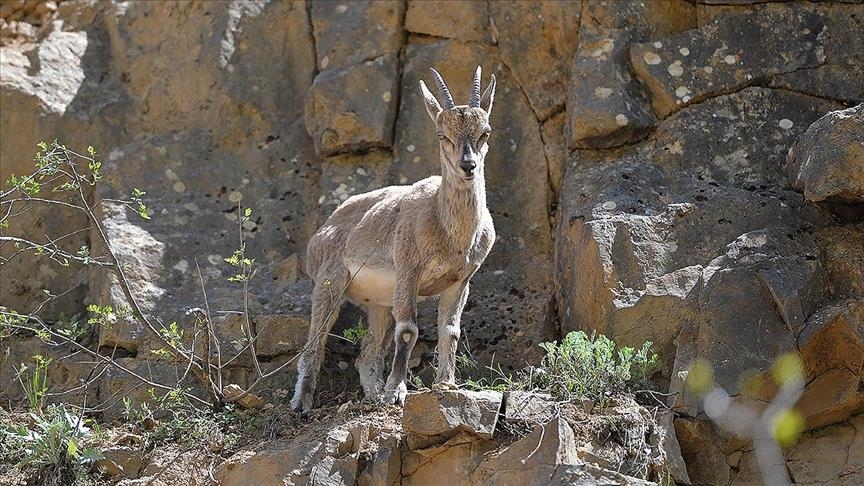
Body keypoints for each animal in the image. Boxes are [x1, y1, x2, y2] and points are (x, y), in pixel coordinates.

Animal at [290, 66, 496, 412]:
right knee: (315, 341)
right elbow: (409, 330)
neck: (451, 234)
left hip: (379, 303)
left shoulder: (460, 280)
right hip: (330, 282)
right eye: (442, 134)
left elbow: (450, 330)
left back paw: (371, 394)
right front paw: (396, 392)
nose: (468, 166)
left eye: (485, 132)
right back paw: (302, 402)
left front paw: (447, 383)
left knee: (368, 353)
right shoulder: (408, 270)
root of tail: (320, 233)